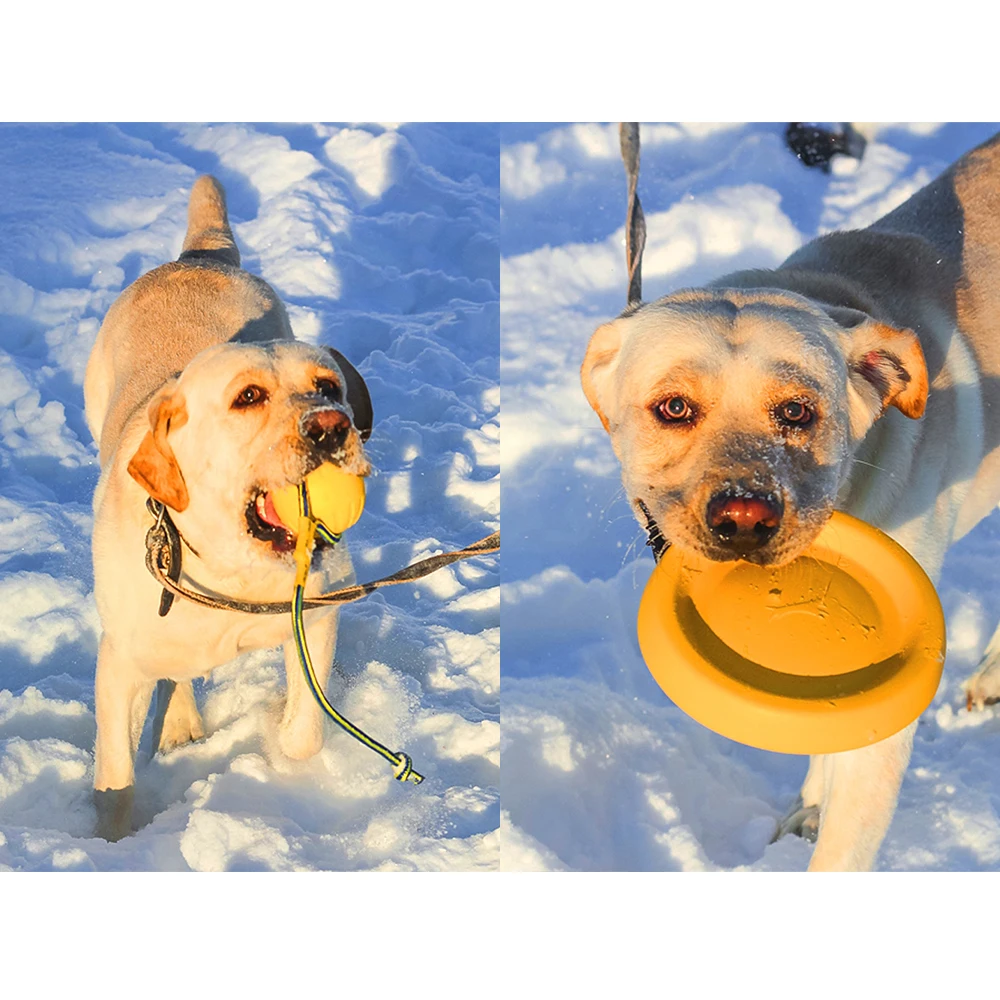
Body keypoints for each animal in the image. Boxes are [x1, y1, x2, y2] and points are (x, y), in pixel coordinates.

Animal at [84, 176, 374, 840]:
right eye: (248, 397)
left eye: (328, 385)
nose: (330, 426)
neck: (232, 574)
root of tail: (199, 257)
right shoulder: (119, 665)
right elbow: (115, 775)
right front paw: (111, 843)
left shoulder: (318, 615)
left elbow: (304, 733)